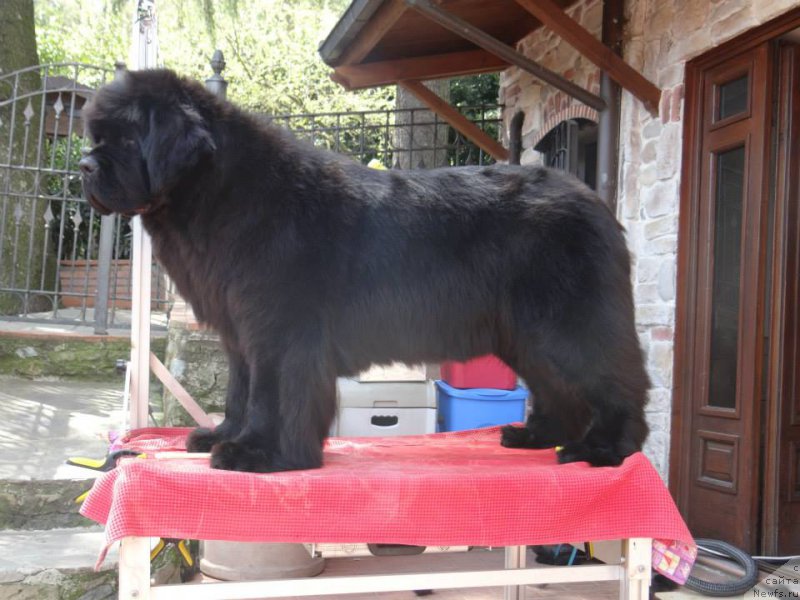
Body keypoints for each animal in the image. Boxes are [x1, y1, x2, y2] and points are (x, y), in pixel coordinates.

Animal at [78, 70, 648, 472]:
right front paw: (223, 437)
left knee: (614, 381)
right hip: (525, 336)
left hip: (568, 326)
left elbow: (272, 395)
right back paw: (537, 436)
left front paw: (260, 455)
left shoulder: (281, 332)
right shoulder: (241, 333)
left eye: (126, 139)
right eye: (97, 136)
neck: (219, 191)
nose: (83, 166)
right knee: (558, 388)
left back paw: (605, 450)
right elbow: (241, 393)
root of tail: (592, 199)